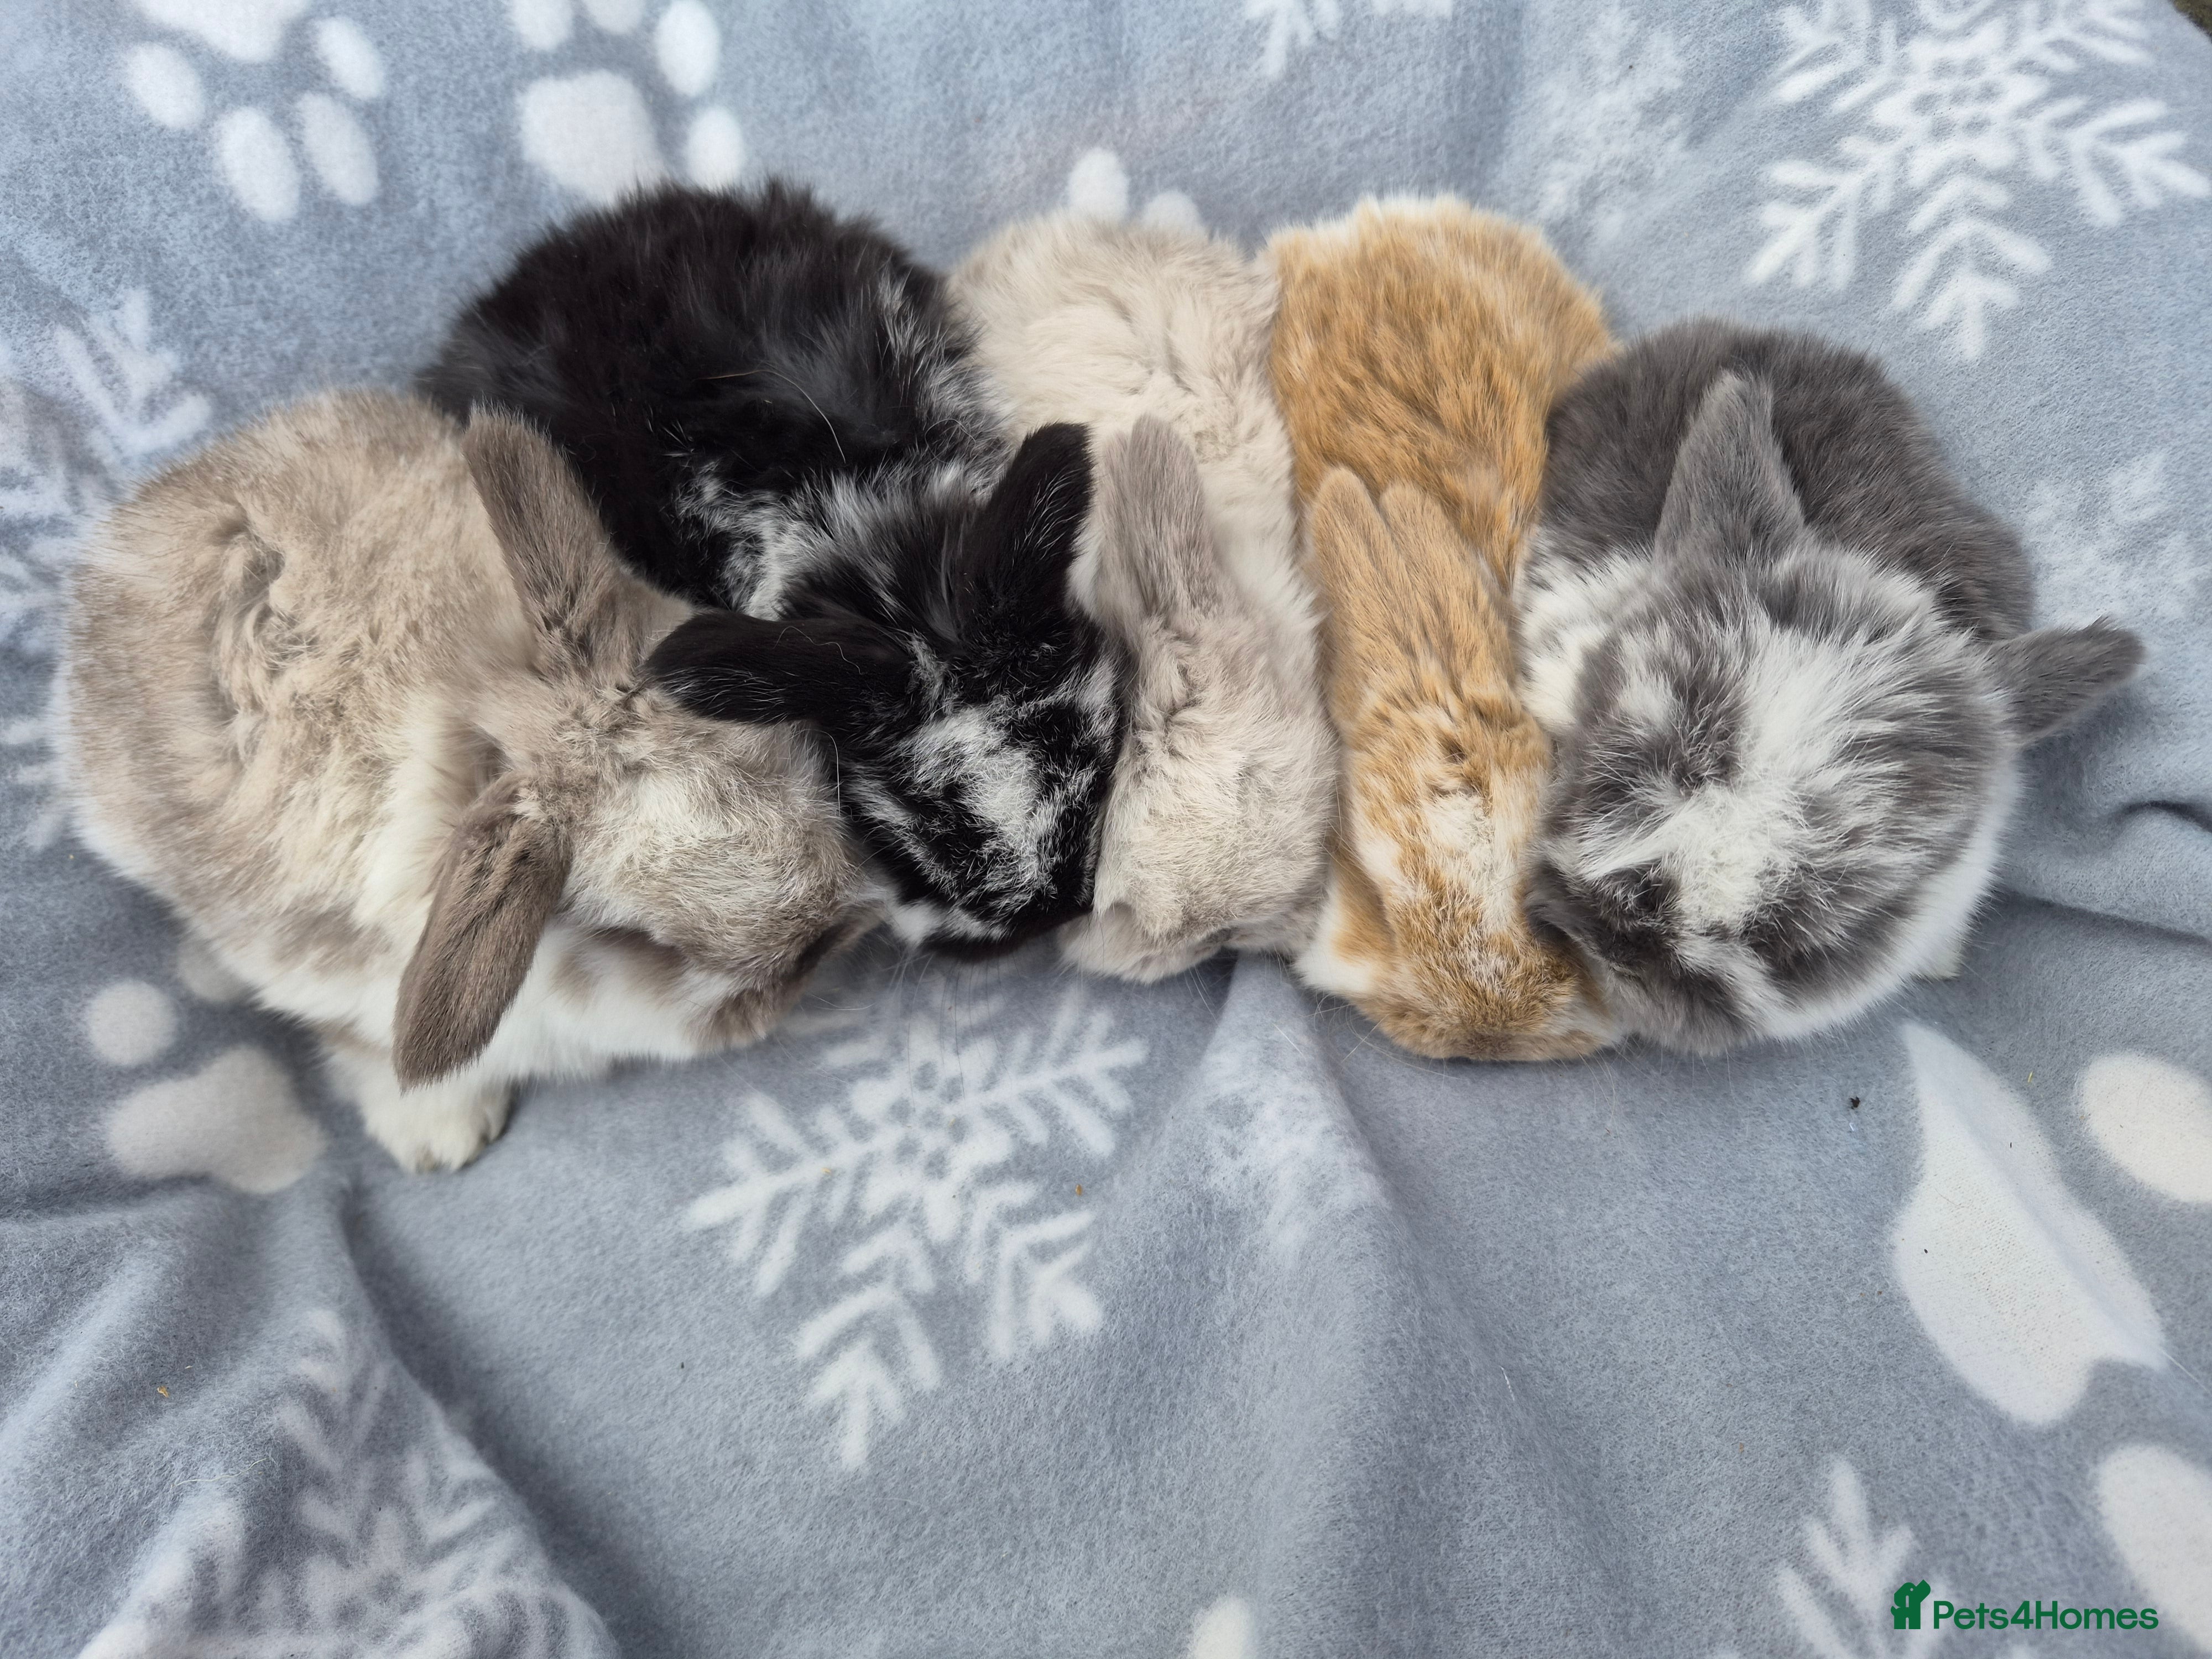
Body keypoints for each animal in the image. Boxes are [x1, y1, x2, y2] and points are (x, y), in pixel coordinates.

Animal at [62, 390, 876, 1172]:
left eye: (780, 750)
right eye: (641, 943)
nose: (836, 937)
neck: (475, 711)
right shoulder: (322, 978)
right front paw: (442, 1143)